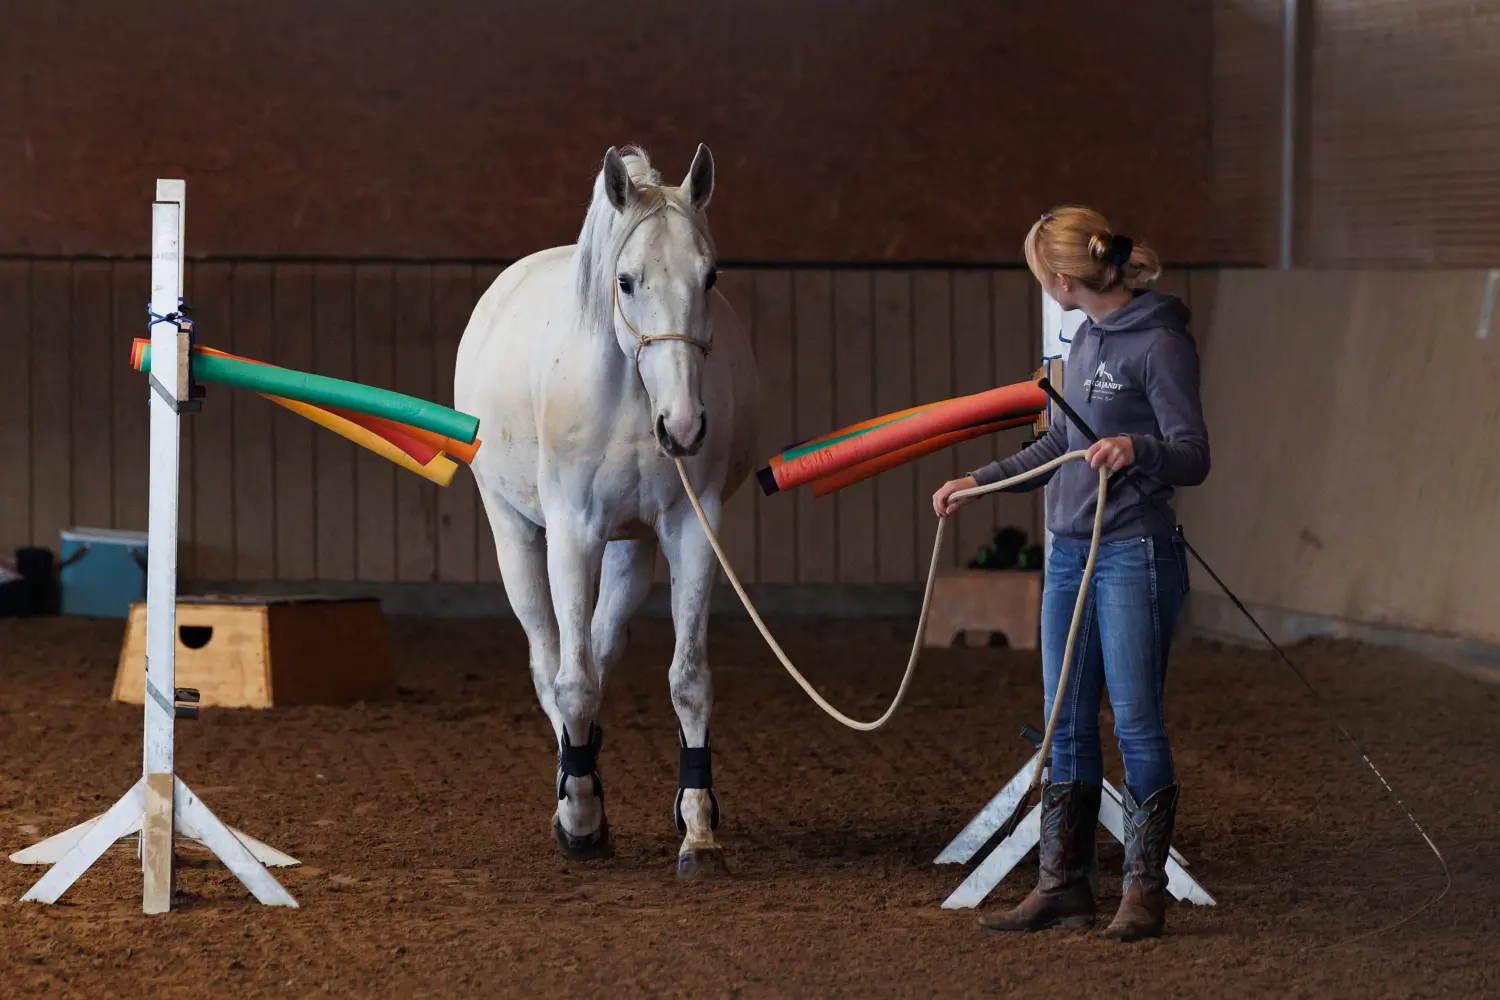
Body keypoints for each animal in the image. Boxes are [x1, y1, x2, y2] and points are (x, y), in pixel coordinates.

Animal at [454, 144, 759, 876]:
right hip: (516, 537)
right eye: (626, 281)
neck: (631, 391)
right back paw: (576, 792)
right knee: (551, 661)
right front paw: (580, 817)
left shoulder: (692, 531)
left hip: (631, 551)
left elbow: (687, 678)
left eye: (710, 276)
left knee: (595, 644)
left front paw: (698, 826)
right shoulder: (572, 533)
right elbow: (570, 682)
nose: (683, 427)